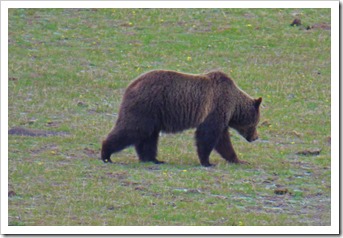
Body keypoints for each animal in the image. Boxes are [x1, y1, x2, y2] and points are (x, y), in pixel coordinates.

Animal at [101, 69, 262, 165]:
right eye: (256, 123)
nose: (256, 137)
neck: (233, 106)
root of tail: (132, 84)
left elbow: (222, 140)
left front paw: (237, 159)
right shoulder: (215, 109)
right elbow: (209, 136)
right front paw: (207, 161)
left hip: (153, 114)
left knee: (148, 137)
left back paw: (153, 159)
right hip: (146, 106)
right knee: (132, 129)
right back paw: (106, 154)